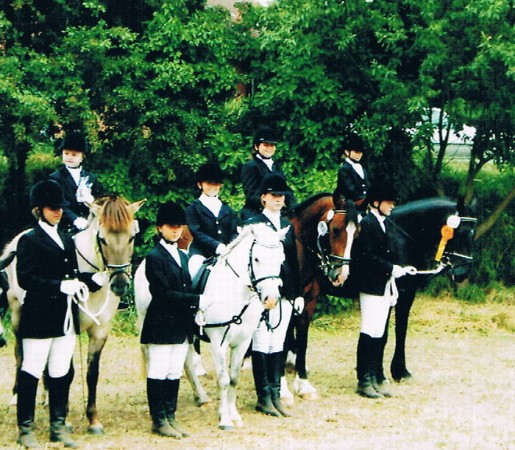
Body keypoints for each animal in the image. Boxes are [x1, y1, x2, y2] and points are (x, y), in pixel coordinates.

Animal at [135, 222, 287, 430]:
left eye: (281, 259)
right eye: (256, 259)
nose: (271, 300)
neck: (234, 292)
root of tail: (143, 264)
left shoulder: (243, 342)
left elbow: (234, 378)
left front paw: (234, 416)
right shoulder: (218, 343)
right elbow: (223, 380)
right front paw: (225, 419)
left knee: (187, 361)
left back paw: (201, 397)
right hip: (147, 324)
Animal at [284, 193, 358, 400]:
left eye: (356, 234)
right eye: (335, 229)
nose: (340, 275)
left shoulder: (308, 302)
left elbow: (302, 340)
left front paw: (303, 384)